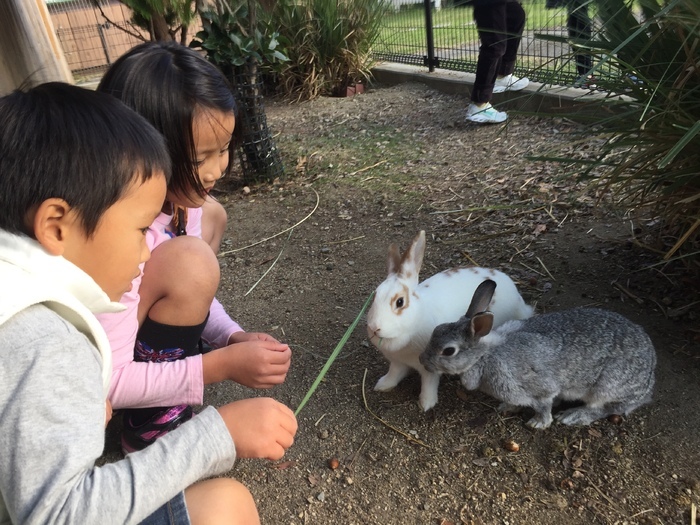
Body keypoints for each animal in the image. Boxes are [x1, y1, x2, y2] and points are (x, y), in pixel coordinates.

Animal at [364, 231, 532, 412]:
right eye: (375, 295)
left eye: (400, 302)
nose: (374, 327)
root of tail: (517, 296)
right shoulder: (397, 362)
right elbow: (394, 374)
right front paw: (383, 385)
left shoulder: (430, 367)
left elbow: (429, 384)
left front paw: (426, 403)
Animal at [422, 278, 656, 426]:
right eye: (437, 330)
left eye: (448, 351)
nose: (423, 361)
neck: (485, 355)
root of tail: (649, 382)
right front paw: (506, 407)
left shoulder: (540, 389)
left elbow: (543, 405)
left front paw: (538, 423)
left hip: (607, 386)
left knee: (605, 408)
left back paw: (573, 416)